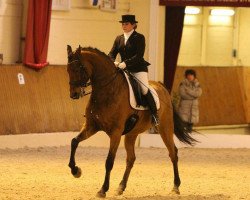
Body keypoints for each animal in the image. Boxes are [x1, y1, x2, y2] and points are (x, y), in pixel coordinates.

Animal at [67, 45, 197, 198]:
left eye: (78, 69)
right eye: (68, 70)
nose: (74, 94)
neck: (107, 91)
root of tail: (161, 86)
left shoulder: (115, 132)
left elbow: (109, 161)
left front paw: (103, 189)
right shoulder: (91, 126)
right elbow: (74, 142)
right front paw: (76, 171)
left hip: (165, 128)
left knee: (173, 153)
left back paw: (176, 186)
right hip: (131, 134)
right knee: (131, 159)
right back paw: (121, 187)